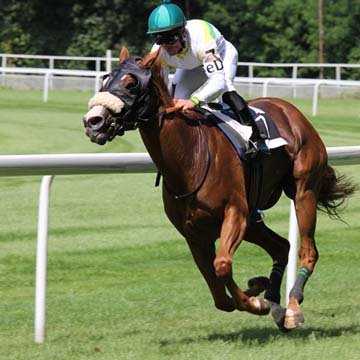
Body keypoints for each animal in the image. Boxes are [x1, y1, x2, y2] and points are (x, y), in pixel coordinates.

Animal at [83, 47, 356, 332]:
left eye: (131, 83)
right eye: (105, 79)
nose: (93, 121)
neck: (189, 158)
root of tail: (290, 110)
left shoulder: (235, 213)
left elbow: (222, 266)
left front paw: (256, 302)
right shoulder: (194, 233)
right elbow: (218, 293)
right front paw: (258, 290)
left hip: (303, 192)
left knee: (308, 250)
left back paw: (291, 307)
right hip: (253, 219)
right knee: (282, 246)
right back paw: (275, 302)